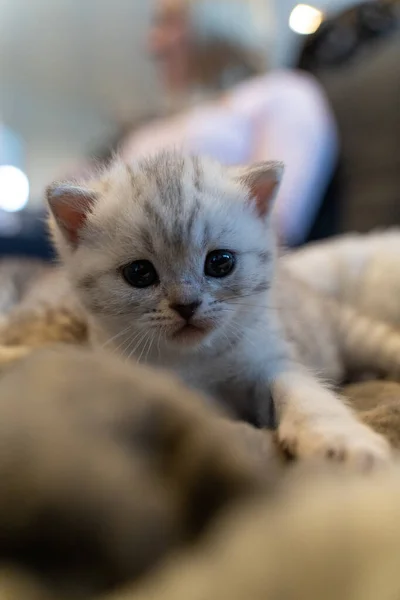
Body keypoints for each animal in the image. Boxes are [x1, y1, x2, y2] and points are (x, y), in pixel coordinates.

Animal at [46, 151, 390, 468]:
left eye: (220, 262)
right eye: (139, 273)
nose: (186, 305)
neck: (195, 359)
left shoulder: (270, 358)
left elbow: (302, 393)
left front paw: (342, 441)